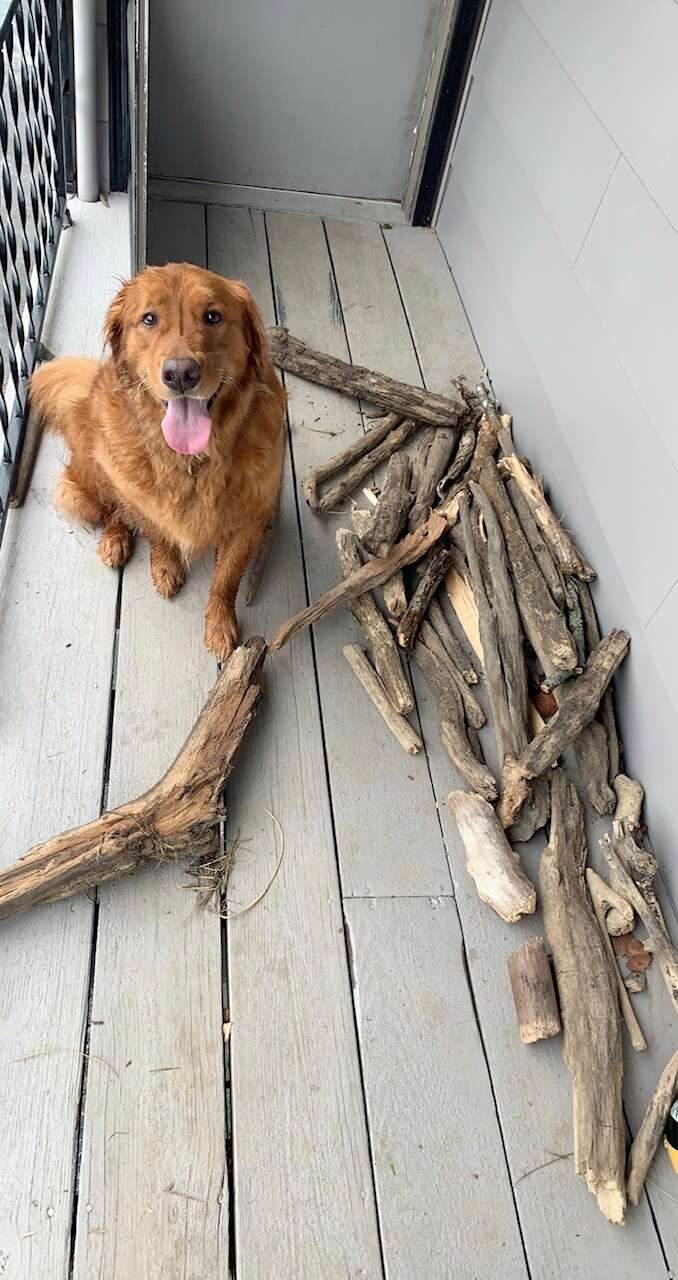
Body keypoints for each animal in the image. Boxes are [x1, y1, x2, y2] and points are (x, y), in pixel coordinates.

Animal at [28, 259, 282, 660]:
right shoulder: (143, 500)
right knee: (113, 508)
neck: (192, 461)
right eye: (149, 318)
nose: (180, 374)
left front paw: (219, 625)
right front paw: (164, 566)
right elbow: (157, 533)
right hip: (93, 478)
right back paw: (115, 539)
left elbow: (226, 580)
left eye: (213, 316)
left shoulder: (248, 521)